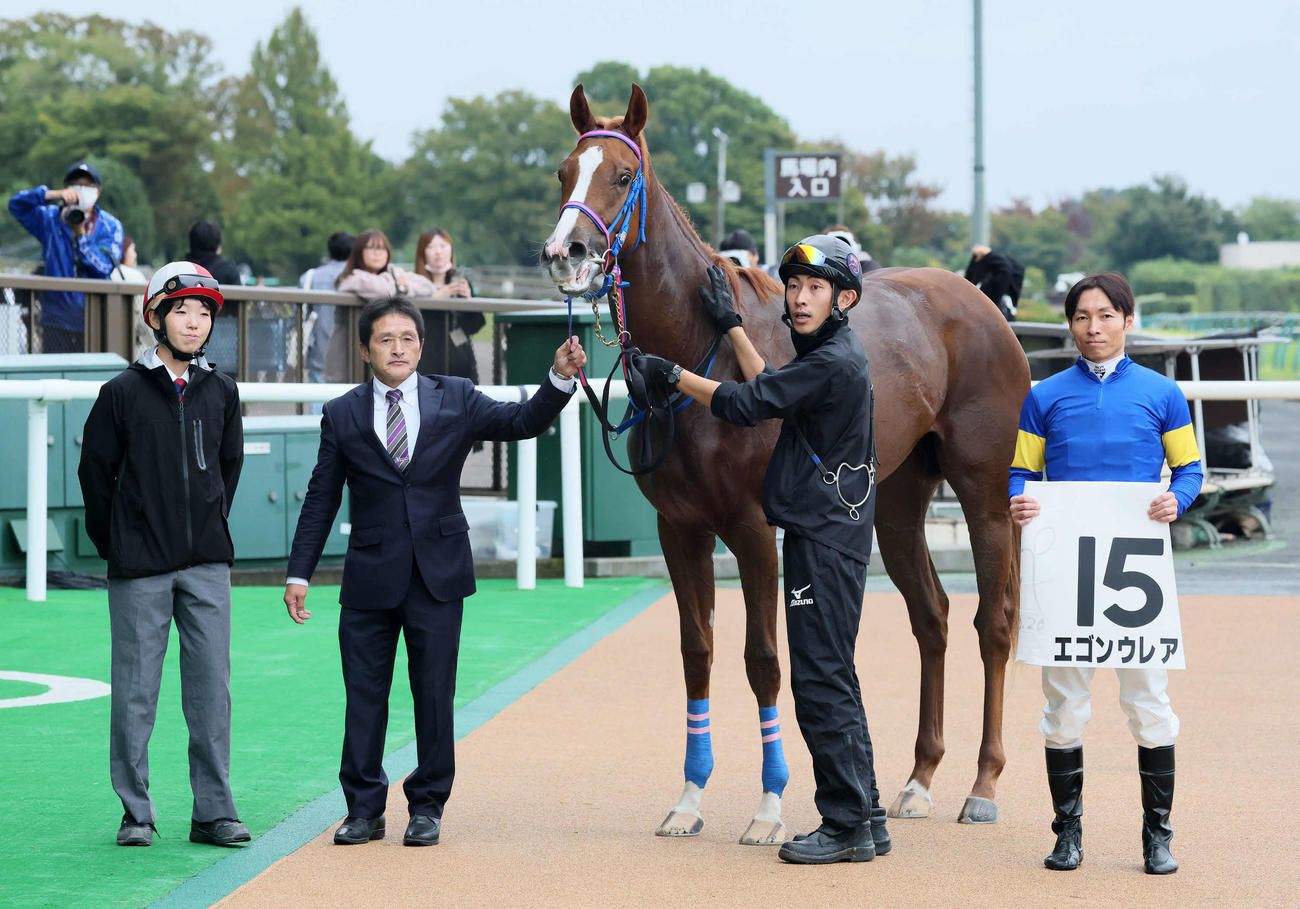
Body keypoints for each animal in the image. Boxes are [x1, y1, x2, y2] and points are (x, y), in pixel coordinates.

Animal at [541, 84, 1030, 843]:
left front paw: (769, 808)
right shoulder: (680, 529)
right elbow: (698, 653)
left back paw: (982, 784)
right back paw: (918, 779)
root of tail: (982, 304)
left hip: (982, 488)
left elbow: (765, 661)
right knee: (933, 615)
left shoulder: (750, 528)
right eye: (566, 172)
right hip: (895, 499)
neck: (703, 347)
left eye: (621, 176)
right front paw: (689, 800)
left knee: (994, 622)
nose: (566, 253)